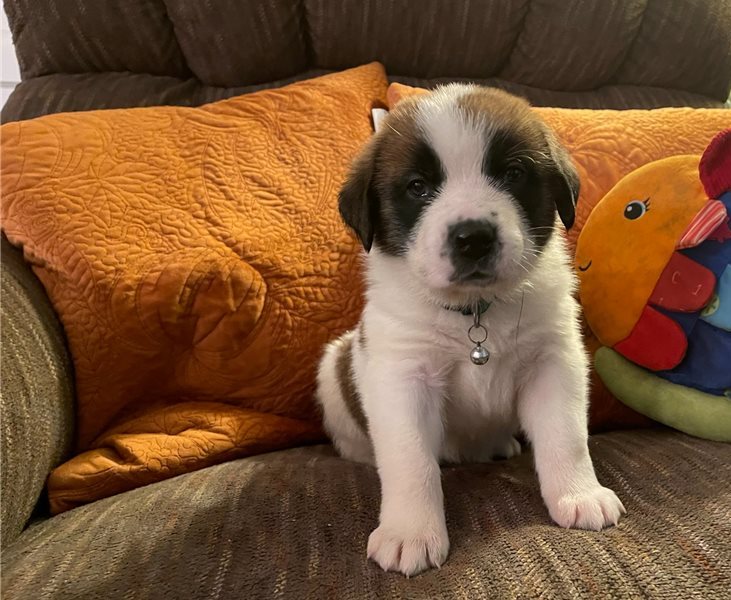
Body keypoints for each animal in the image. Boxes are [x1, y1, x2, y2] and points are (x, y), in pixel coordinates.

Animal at [318, 84, 628, 576]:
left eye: (514, 173)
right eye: (418, 187)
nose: (474, 238)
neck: (475, 314)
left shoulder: (554, 361)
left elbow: (566, 436)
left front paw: (579, 495)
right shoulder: (402, 375)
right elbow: (409, 458)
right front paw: (410, 532)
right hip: (335, 365)